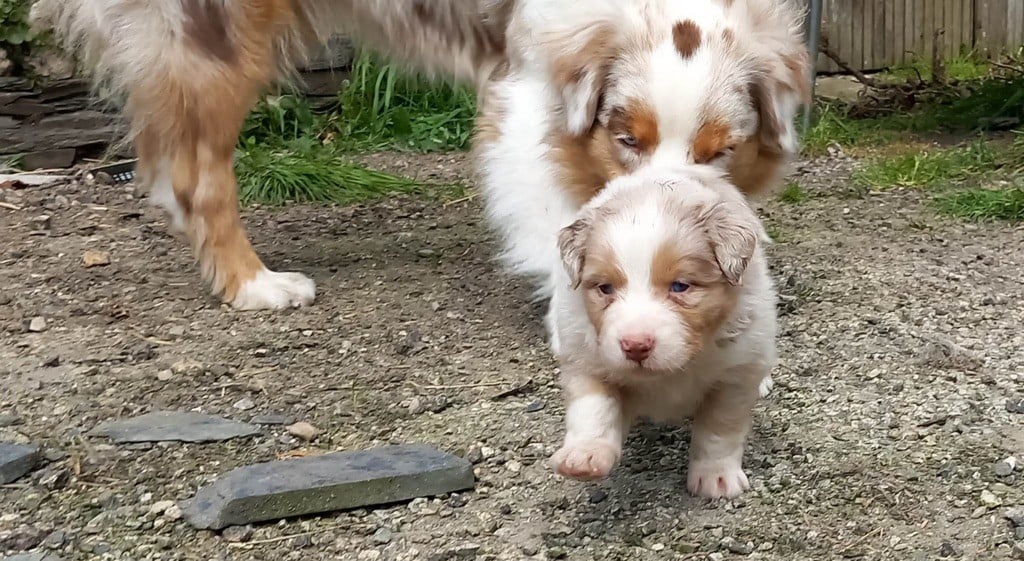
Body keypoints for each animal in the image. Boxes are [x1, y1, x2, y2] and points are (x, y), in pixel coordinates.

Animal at [547, 169, 777, 499]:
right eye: (605, 288)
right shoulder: (587, 356)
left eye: (680, 286)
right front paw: (584, 455)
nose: (635, 346)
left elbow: (719, 430)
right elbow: (593, 407)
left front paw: (716, 478)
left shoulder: (734, 374)